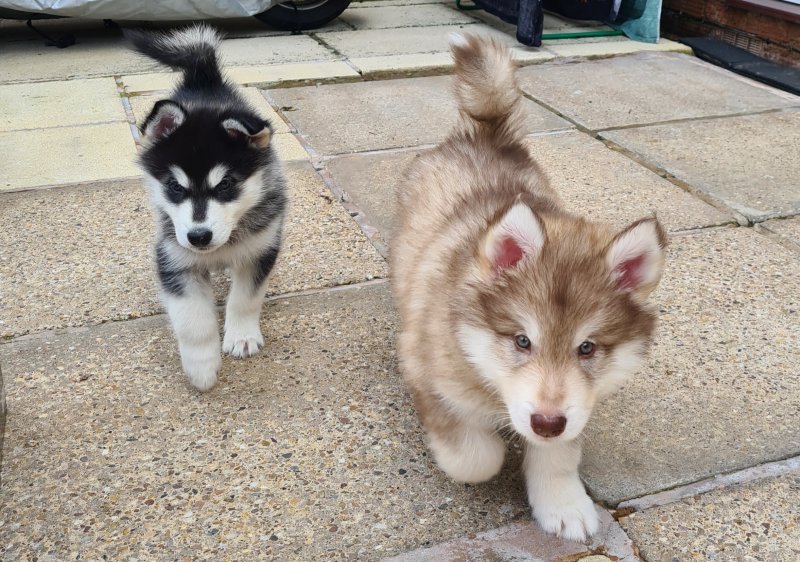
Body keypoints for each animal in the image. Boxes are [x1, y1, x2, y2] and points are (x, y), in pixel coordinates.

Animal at [131, 25, 290, 390]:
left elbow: (245, 298)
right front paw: (201, 366)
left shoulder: (260, 249)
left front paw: (241, 336)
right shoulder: (173, 259)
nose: (198, 237)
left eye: (226, 184)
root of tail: (204, 78)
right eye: (175, 187)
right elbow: (192, 319)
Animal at [390, 34, 664, 540]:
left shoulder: (575, 408)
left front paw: (562, 503)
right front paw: (490, 455)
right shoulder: (424, 371)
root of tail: (487, 134)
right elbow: (476, 456)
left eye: (587, 348)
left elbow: (558, 454)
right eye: (522, 340)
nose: (546, 422)